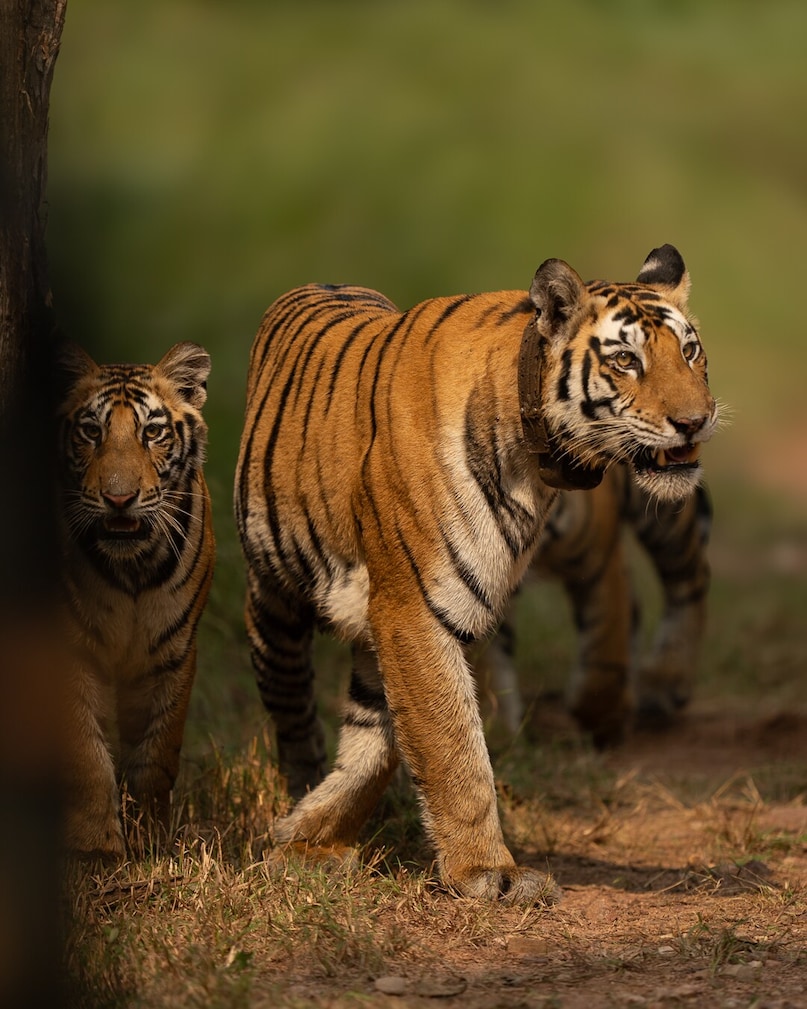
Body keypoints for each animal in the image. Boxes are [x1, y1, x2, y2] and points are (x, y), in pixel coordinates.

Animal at [57, 341, 215, 861]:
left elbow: (156, 752)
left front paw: (151, 841)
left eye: (152, 432)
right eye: (91, 431)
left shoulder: (173, 651)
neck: (131, 569)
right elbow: (85, 753)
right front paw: (98, 847)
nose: (119, 499)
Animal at [475, 465, 712, 748]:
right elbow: (488, 664)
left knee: (690, 575)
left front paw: (604, 721)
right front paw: (496, 731)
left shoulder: (598, 558)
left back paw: (664, 682)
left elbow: (605, 651)